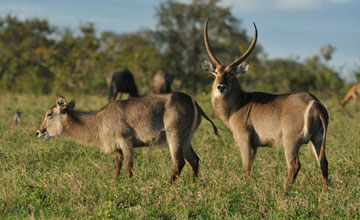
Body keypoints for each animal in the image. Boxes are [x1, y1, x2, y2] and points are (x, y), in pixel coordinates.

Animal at [36, 94, 218, 182]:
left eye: (49, 114)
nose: (39, 132)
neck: (99, 120)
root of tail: (193, 101)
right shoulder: (117, 148)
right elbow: (117, 166)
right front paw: (115, 184)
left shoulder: (126, 141)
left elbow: (129, 166)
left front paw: (130, 186)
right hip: (186, 139)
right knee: (194, 160)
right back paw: (193, 186)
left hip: (174, 135)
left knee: (179, 162)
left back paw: (167, 186)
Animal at [202, 18, 330, 192]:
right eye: (216, 73)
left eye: (231, 74)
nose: (220, 87)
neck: (238, 103)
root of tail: (315, 104)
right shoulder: (254, 145)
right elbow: (249, 167)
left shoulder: (244, 138)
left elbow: (246, 167)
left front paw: (249, 189)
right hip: (318, 139)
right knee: (323, 162)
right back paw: (325, 193)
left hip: (291, 140)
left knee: (294, 165)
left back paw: (283, 192)